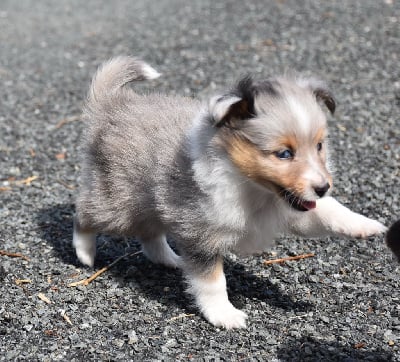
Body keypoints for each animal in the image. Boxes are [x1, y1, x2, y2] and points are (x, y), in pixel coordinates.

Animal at [73, 55, 386, 328]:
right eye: (284, 153)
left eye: (319, 146)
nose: (323, 187)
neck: (253, 189)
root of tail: (113, 105)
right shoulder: (202, 233)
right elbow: (213, 282)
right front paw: (225, 315)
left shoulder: (292, 207)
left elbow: (330, 211)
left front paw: (367, 226)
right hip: (119, 203)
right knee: (84, 213)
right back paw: (85, 254)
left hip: (153, 203)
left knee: (150, 235)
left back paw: (172, 260)